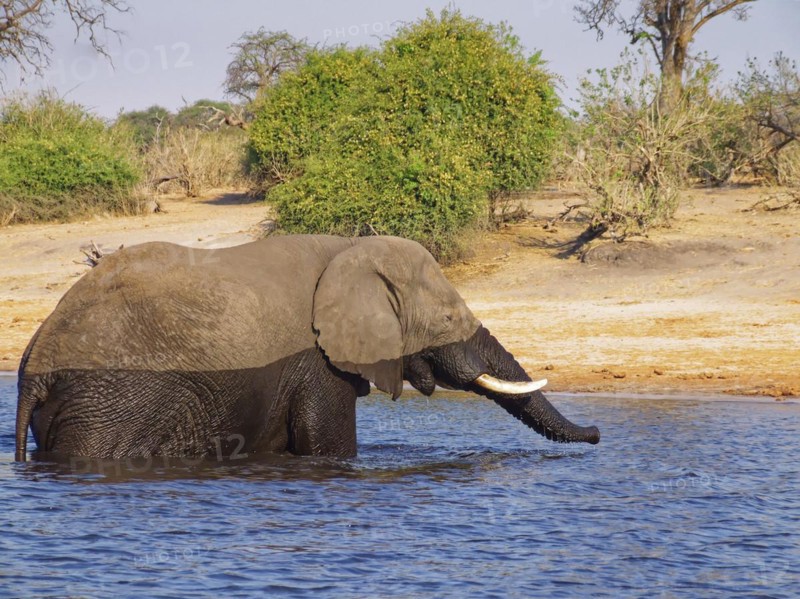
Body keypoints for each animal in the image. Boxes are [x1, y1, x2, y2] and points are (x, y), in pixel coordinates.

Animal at [15, 235, 599, 461]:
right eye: (451, 320)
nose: (597, 436)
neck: (350, 249)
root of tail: (33, 369)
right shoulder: (316, 362)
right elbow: (328, 445)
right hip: (110, 404)